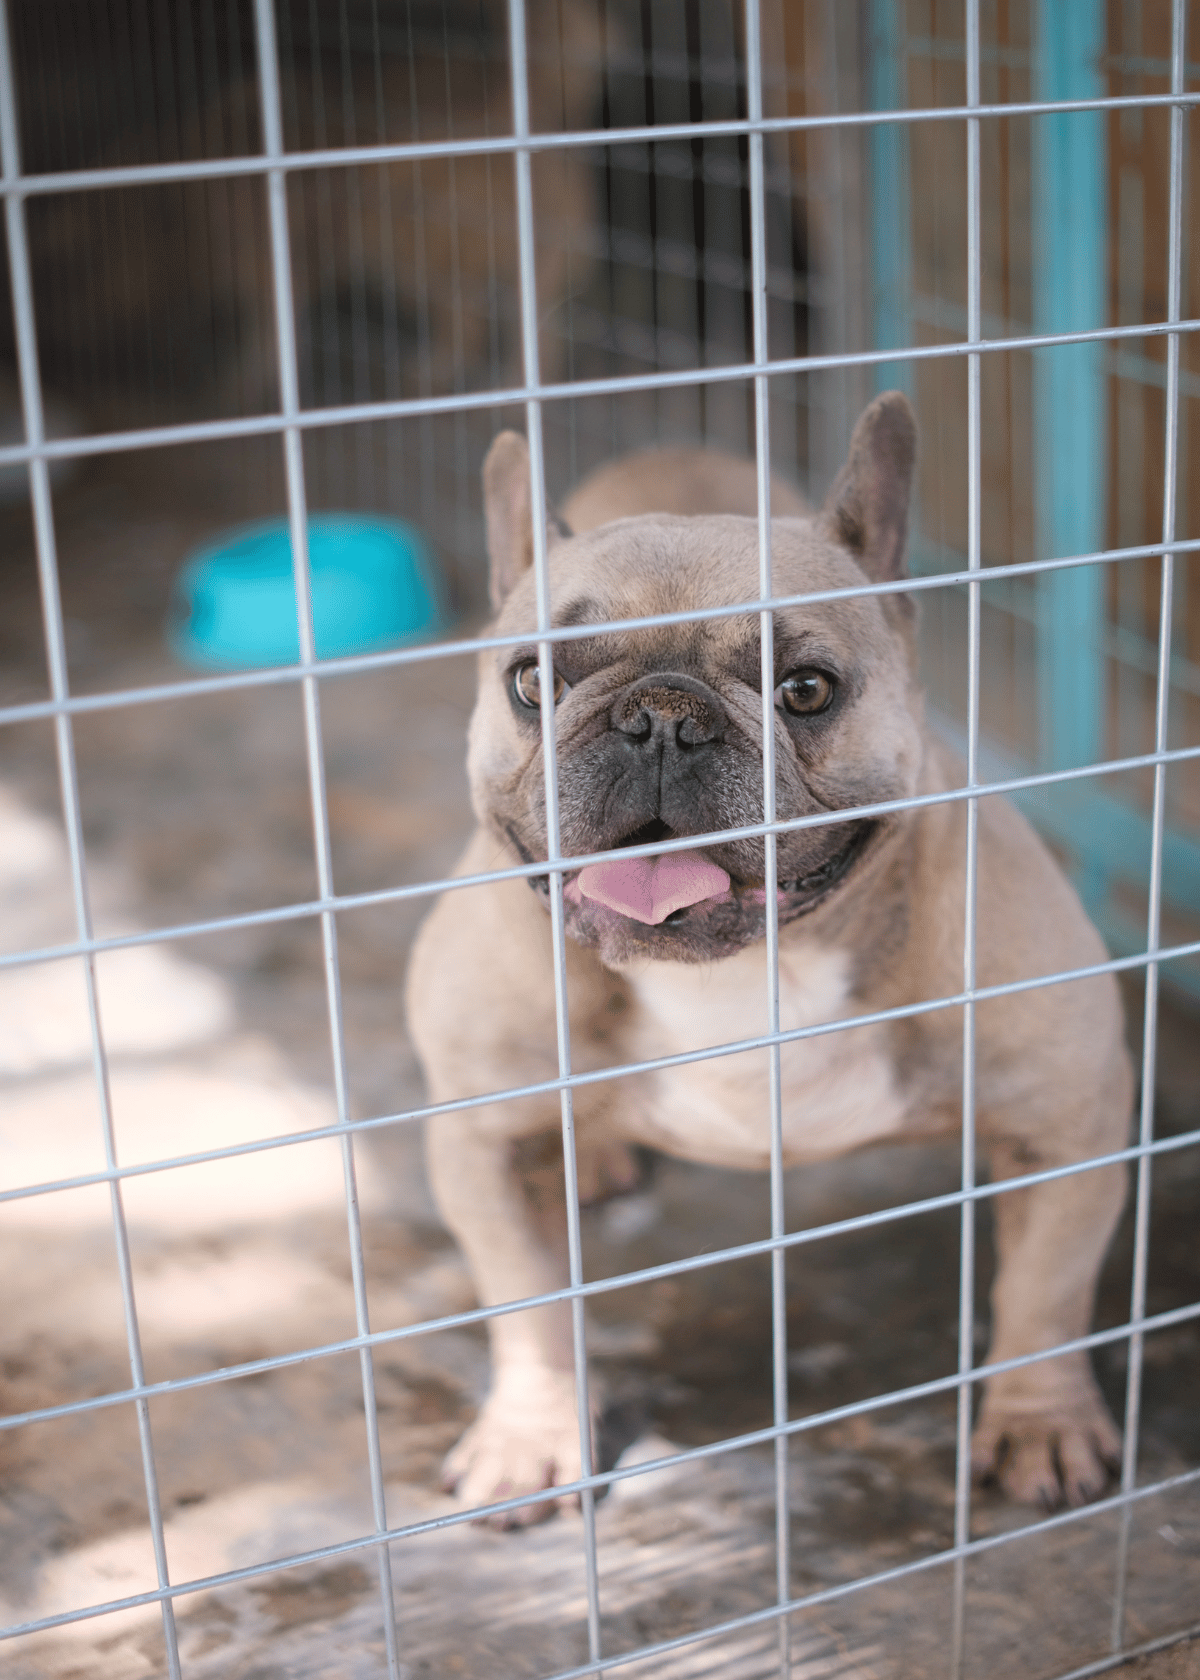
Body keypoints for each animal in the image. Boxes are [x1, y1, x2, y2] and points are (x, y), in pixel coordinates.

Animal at [406, 393, 1129, 1525]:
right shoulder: (481, 1142)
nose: (660, 717)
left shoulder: (1068, 1124)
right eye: (530, 682)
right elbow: (528, 1304)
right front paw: (531, 1437)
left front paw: (1040, 1424)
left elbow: (1045, 1295)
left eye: (807, 690)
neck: (739, 974)